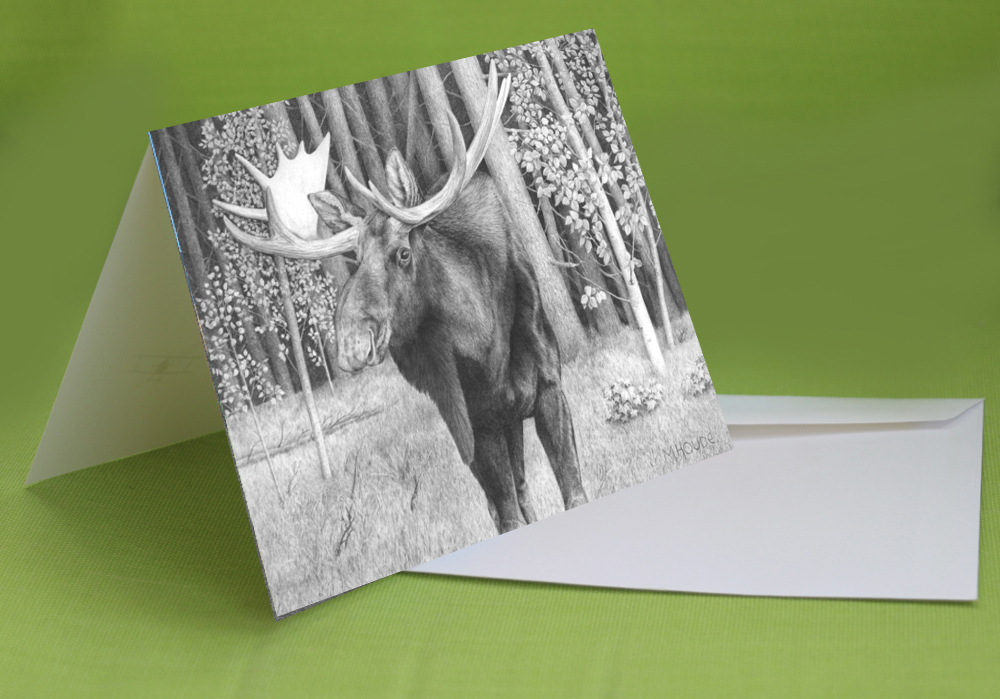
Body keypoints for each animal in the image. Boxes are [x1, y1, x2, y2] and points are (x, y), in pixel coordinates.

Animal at [214, 63, 589, 533]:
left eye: (403, 253)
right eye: (354, 259)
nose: (352, 344)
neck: (486, 346)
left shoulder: (549, 389)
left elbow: (572, 492)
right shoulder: (475, 424)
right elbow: (507, 515)